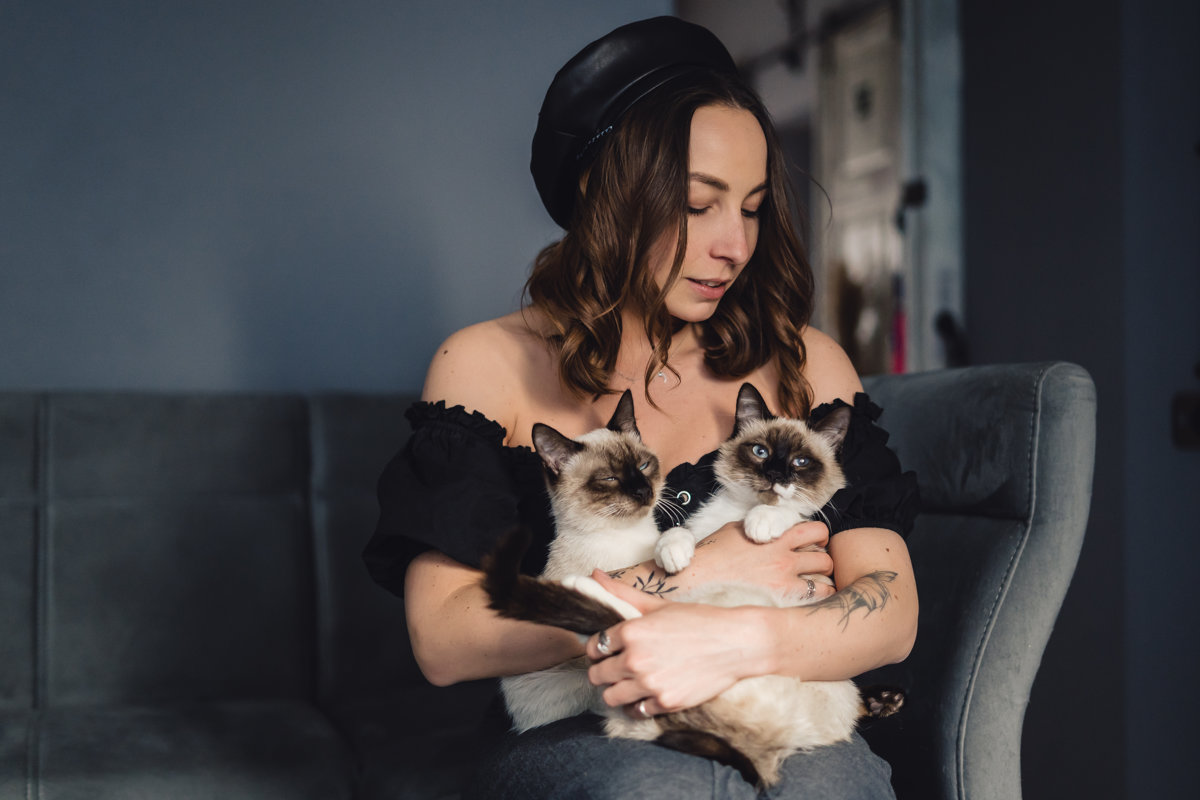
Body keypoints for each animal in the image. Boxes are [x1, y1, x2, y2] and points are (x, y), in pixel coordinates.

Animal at [484, 383, 902, 786]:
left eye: (800, 463)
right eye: (760, 452)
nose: (776, 476)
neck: (740, 511)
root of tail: (763, 749)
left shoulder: (804, 528)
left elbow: (785, 513)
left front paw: (762, 522)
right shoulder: (697, 532)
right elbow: (680, 537)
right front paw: (673, 555)